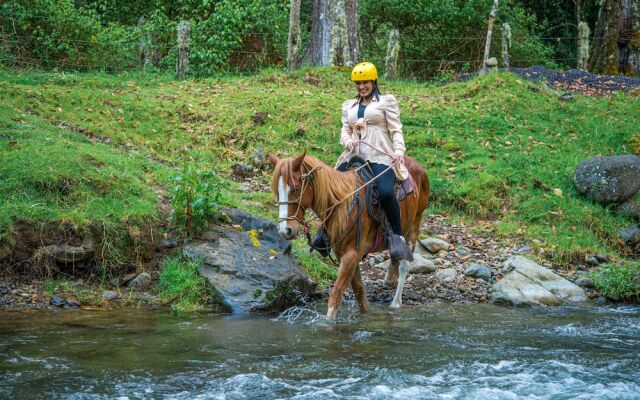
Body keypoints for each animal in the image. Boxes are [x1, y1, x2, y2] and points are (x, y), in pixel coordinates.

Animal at [270, 152, 430, 318]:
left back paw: (396, 303)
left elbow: (336, 296)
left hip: (413, 227)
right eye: (278, 192)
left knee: (405, 265)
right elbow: (359, 292)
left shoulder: (351, 255)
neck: (344, 205)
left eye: (295, 189)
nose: (285, 230)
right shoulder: (346, 255)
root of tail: (418, 166)